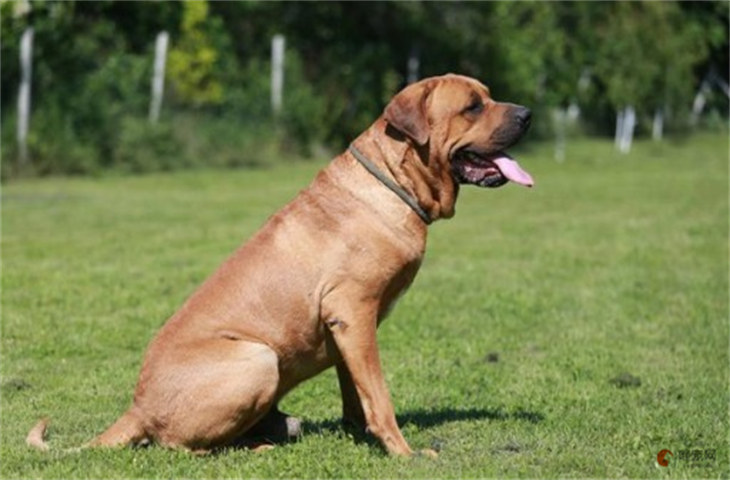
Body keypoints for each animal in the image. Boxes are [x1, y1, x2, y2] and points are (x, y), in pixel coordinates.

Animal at [28, 73, 532, 456]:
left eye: (487, 97)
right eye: (472, 107)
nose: (527, 114)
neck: (393, 181)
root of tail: (136, 408)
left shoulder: (347, 328)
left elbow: (356, 392)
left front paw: (358, 434)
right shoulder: (353, 312)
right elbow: (379, 394)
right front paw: (403, 453)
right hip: (257, 357)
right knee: (181, 446)